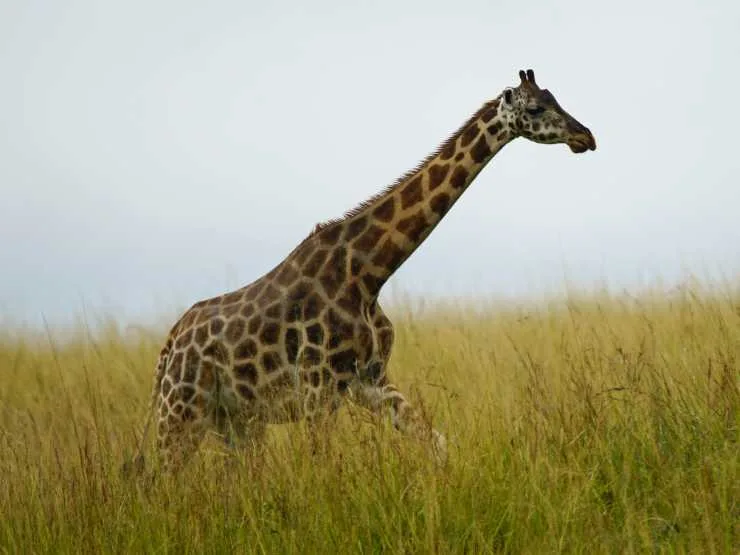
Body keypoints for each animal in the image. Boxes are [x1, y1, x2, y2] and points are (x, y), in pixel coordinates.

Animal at [134, 69, 596, 472]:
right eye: (535, 108)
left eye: (555, 98)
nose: (585, 136)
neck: (368, 272)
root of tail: (167, 349)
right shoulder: (318, 388)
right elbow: (320, 468)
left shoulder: (369, 380)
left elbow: (438, 442)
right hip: (182, 410)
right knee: (161, 480)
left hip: (234, 420)